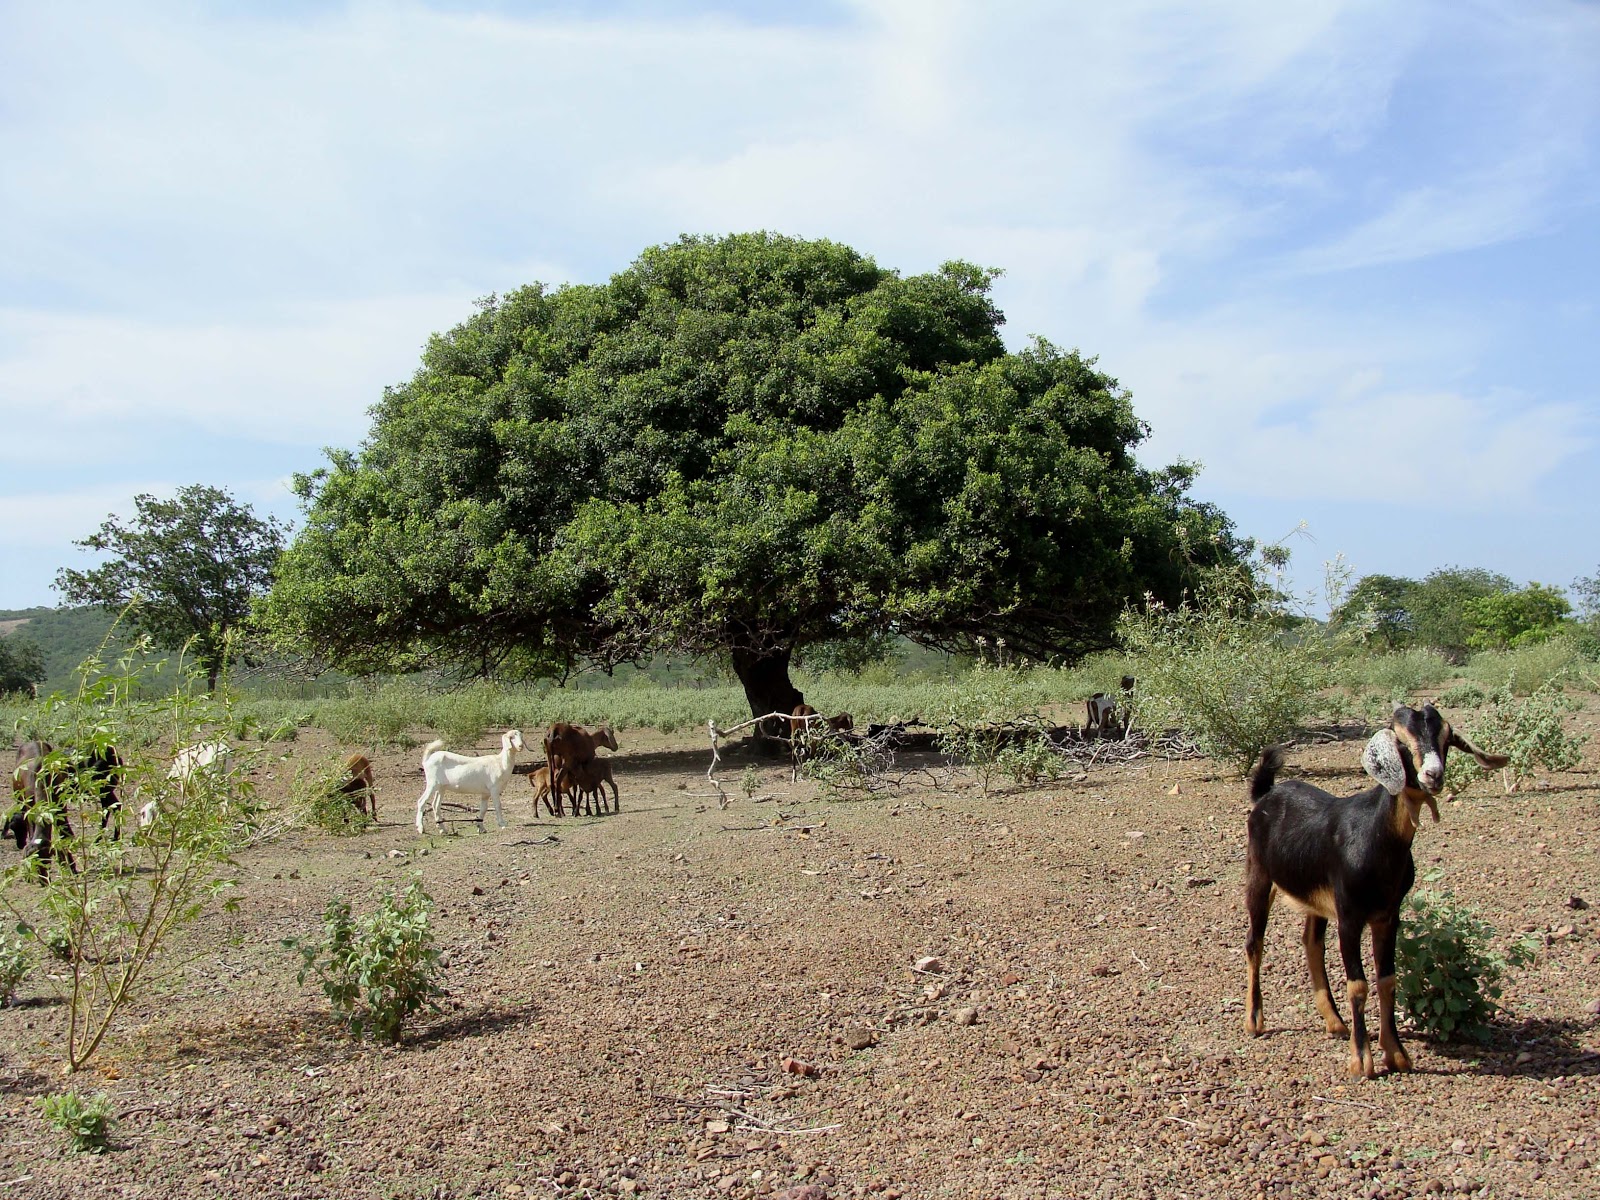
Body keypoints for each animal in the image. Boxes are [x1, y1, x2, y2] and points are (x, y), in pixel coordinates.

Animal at [1241, 704, 1504, 1081]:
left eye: (1446, 739)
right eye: (1403, 742)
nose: (1433, 776)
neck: (1375, 837)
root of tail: (1266, 794)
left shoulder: (1388, 916)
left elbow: (1388, 979)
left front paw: (1396, 1053)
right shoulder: (1350, 917)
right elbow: (1359, 985)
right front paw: (1361, 1060)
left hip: (1317, 899)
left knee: (1311, 942)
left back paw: (1335, 1023)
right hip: (1259, 876)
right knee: (1255, 942)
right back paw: (1254, 1021)